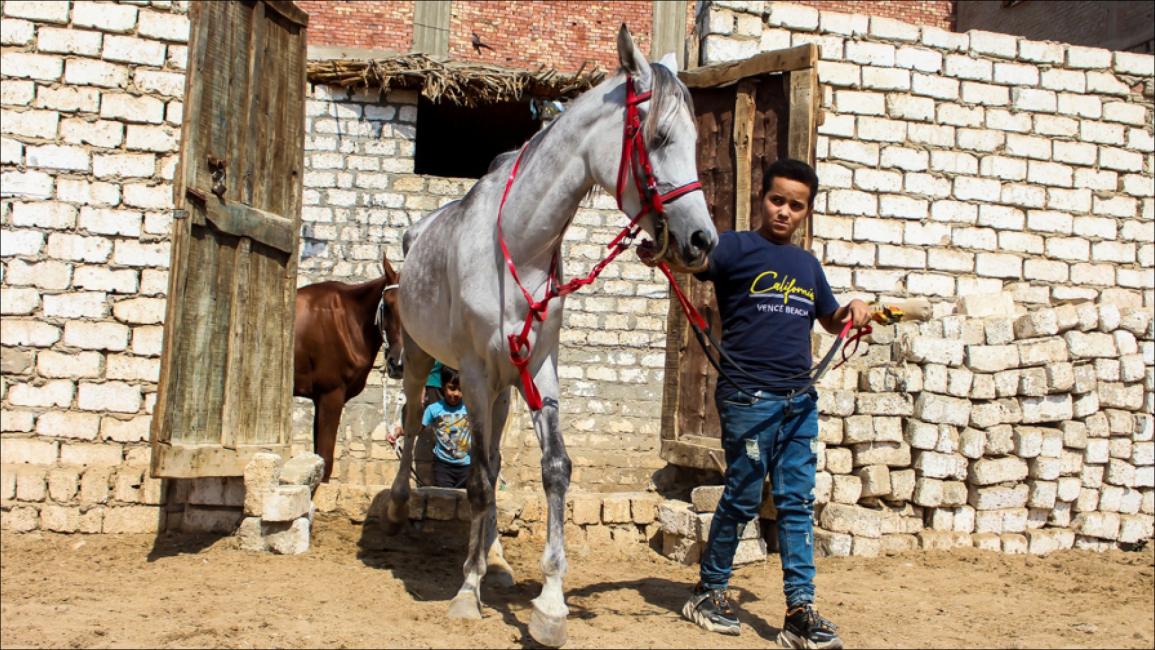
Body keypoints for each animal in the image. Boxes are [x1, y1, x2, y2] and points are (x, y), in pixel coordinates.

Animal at [291, 253, 404, 482]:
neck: (346, 320)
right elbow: (325, 461)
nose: (397, 363)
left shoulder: (320, 398)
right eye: (387, 306)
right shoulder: (330, 395)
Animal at [385, 25, 711, 646]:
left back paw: (496, 561)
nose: (702, 241)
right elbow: (478, 483)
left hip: (506, 390)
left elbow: (550, 470)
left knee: (492, 459)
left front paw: (549, 603)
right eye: (658, 138)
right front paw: (466, 593)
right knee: (414, 422)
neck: (520, 245)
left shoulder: (536, 368)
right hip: (419, 360)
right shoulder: (475, 373)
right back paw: (398, 508)